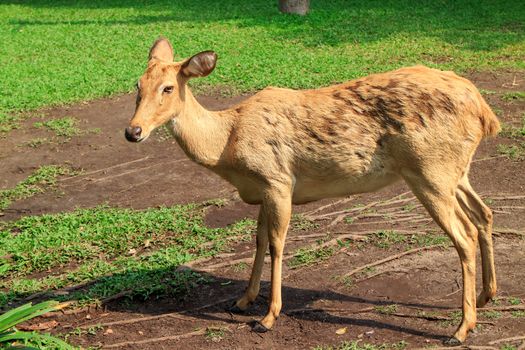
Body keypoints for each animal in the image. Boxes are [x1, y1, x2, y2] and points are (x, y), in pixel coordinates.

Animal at [124, 38, 500, 344]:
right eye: (137, 84)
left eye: (168, 88)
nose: (133, 131)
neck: (226, 144)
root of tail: (485, 112)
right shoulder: (263, 189)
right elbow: (258, 239)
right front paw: (244, 300)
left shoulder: (276, 178)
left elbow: (277, 243)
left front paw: (268, 317)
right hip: (455, 171)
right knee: (484, 213)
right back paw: (486, 296)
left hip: (429, 169)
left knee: (464, 234)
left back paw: (461, 329)